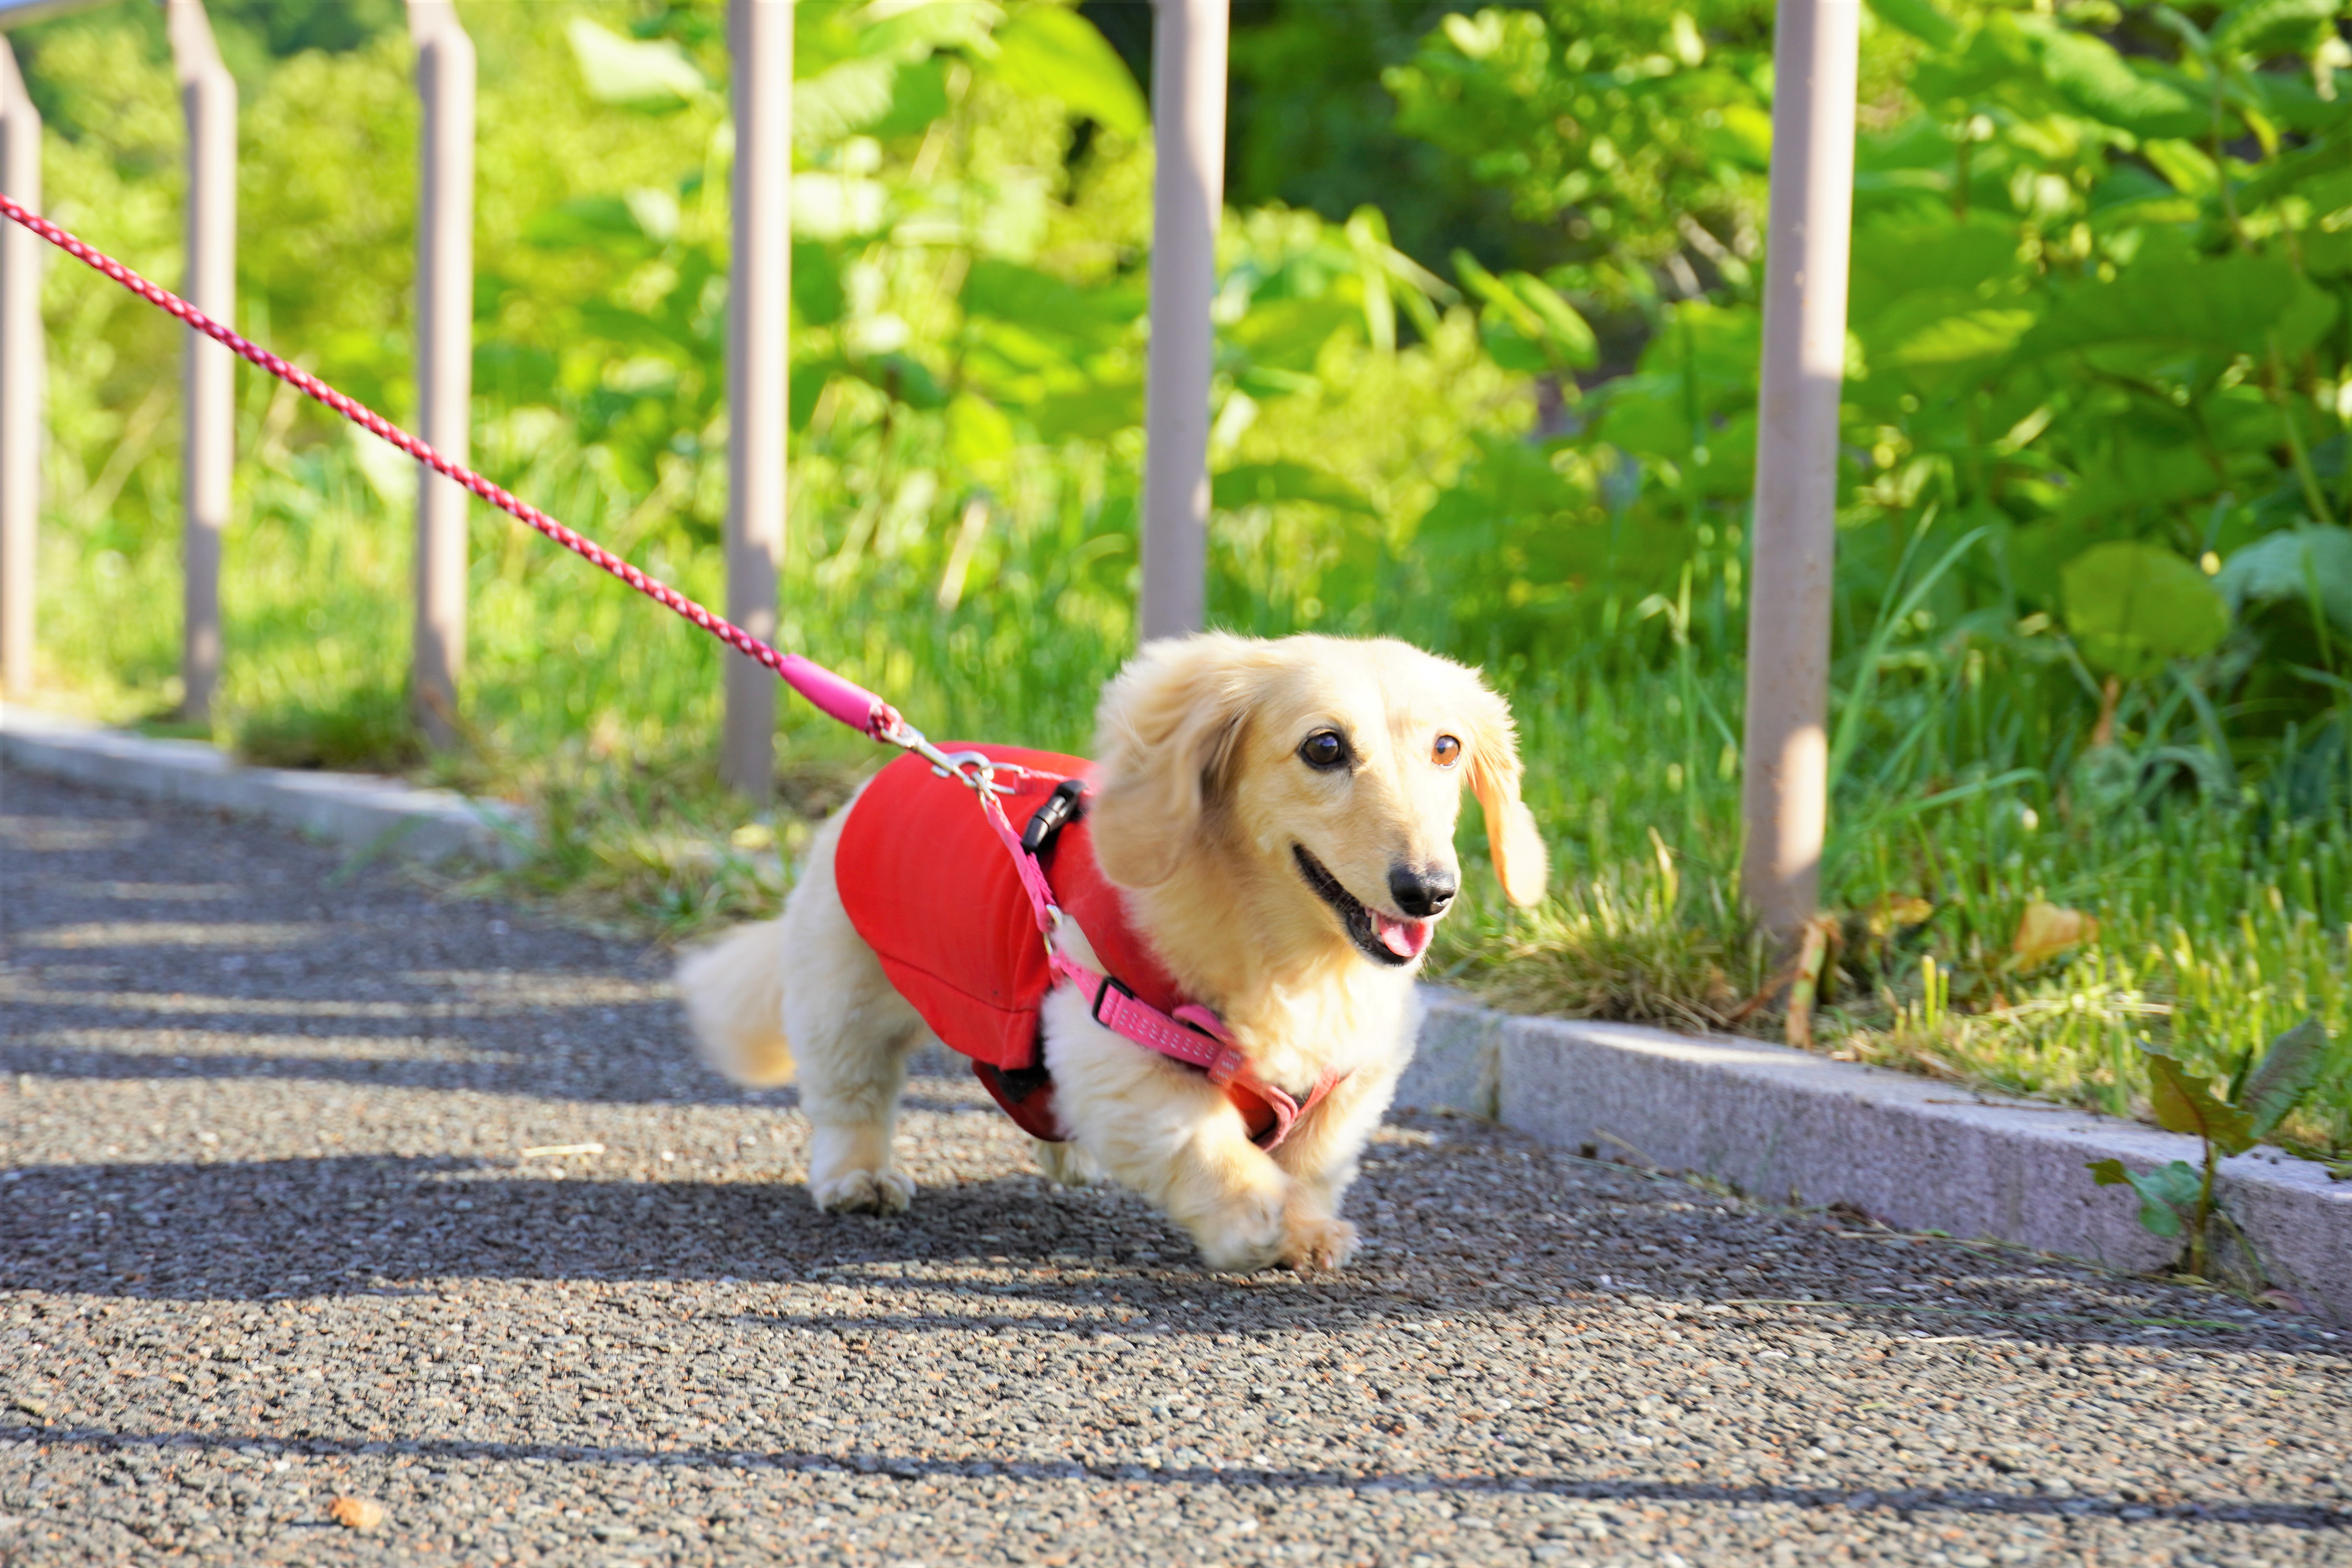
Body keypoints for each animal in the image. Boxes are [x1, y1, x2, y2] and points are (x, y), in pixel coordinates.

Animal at [677, 630, 1543, 1269]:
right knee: (850, 1096)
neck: (1293, 959)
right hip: (845, 996)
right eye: (1325, 747)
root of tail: (913, 763)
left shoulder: (1355, 1075)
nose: (1429, 889)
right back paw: (858, 1178)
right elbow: (1210, 1145)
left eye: (1447, 747)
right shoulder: (1115, 1044)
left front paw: (1306, 1226)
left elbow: (1314, 1159)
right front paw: (1261, 1223)